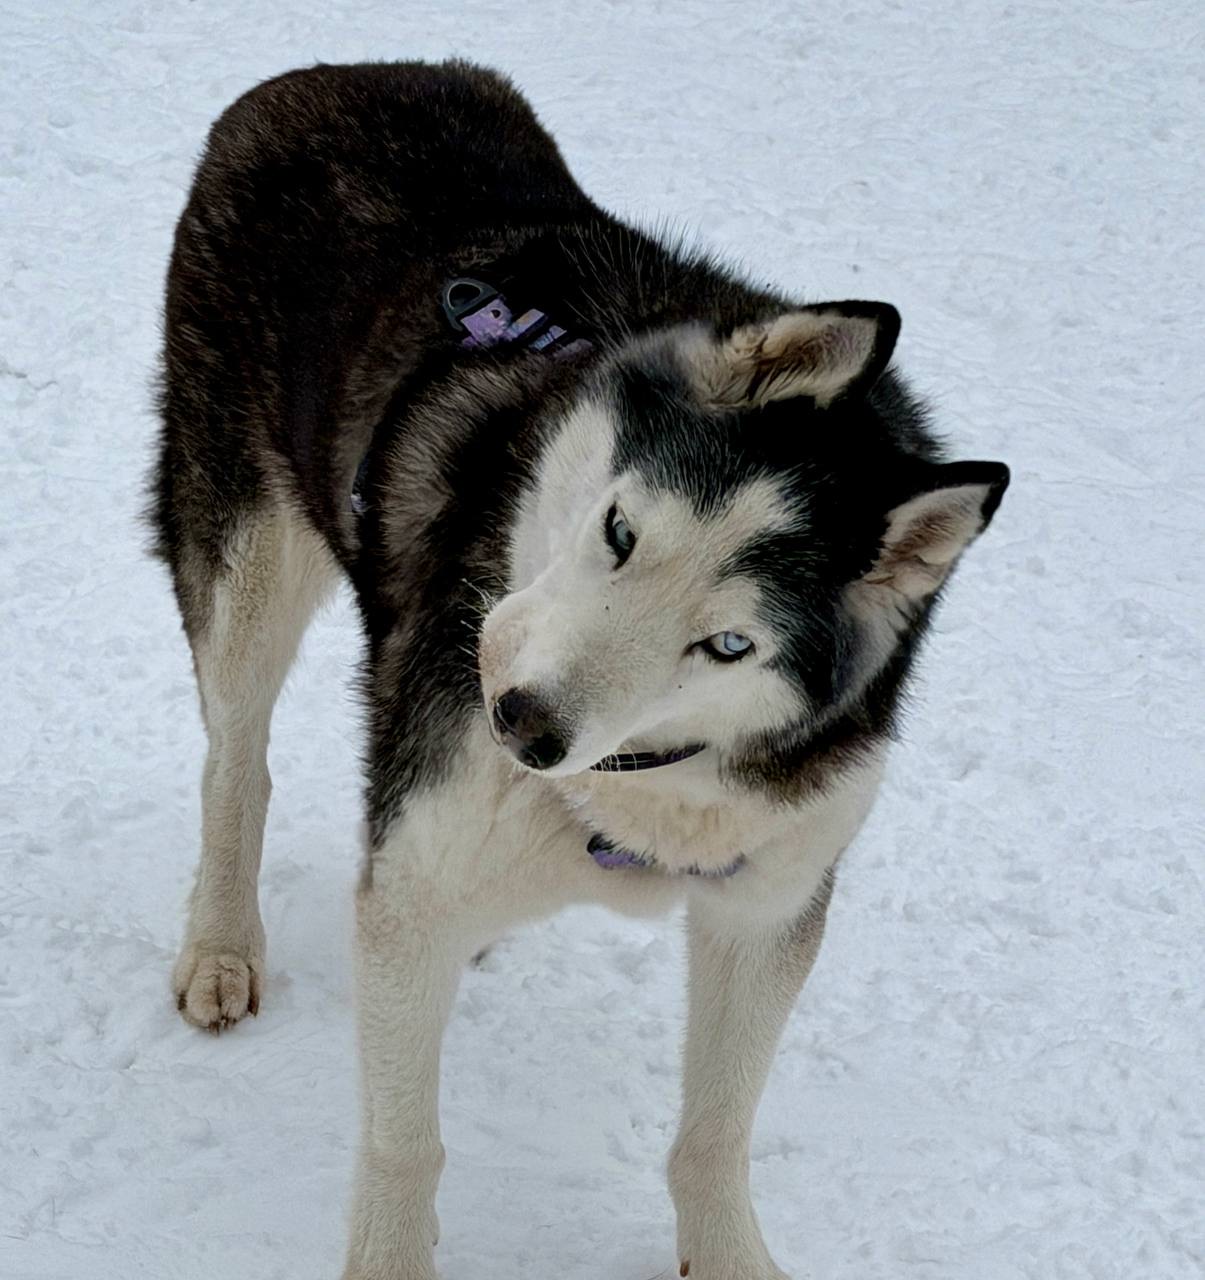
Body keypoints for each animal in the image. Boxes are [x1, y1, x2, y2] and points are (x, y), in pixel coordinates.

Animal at [151, 59, 1008, 1280]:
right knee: (236, 758)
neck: (628, 786)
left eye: (728, 643)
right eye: (618, 531)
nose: (518, 719)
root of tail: (335, 71)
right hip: (242, 557)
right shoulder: (414, 871)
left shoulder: (769, 901)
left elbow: (714, 1133)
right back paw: (223, 944)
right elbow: (406, 1144)